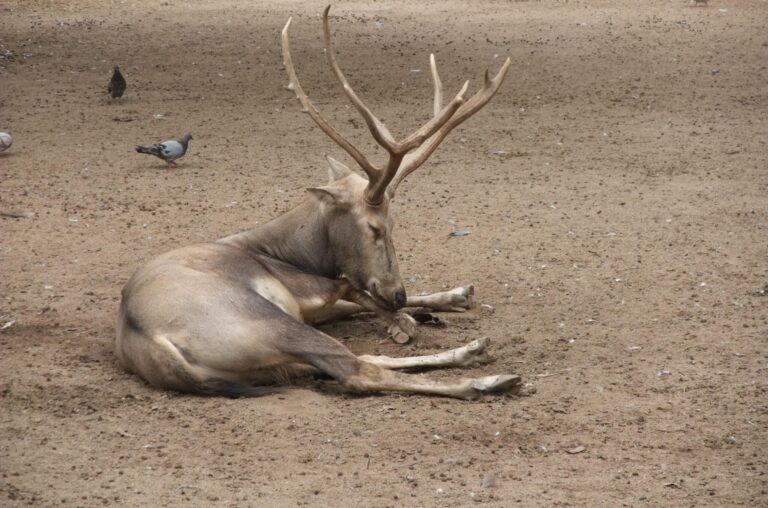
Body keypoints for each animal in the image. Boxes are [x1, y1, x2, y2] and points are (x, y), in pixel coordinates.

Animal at [115, 6, 523, 400]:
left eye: (395, 224)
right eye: (374, 227)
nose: (397, 293)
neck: (286, 251)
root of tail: (158, 348)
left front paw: (450, 297)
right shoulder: (309, 289)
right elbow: (352, 288)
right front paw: (407, 320)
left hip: (280, 360)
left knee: (359, 360)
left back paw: (469, 352)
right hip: (275, 324)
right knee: (357, 371)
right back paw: (486, 377)